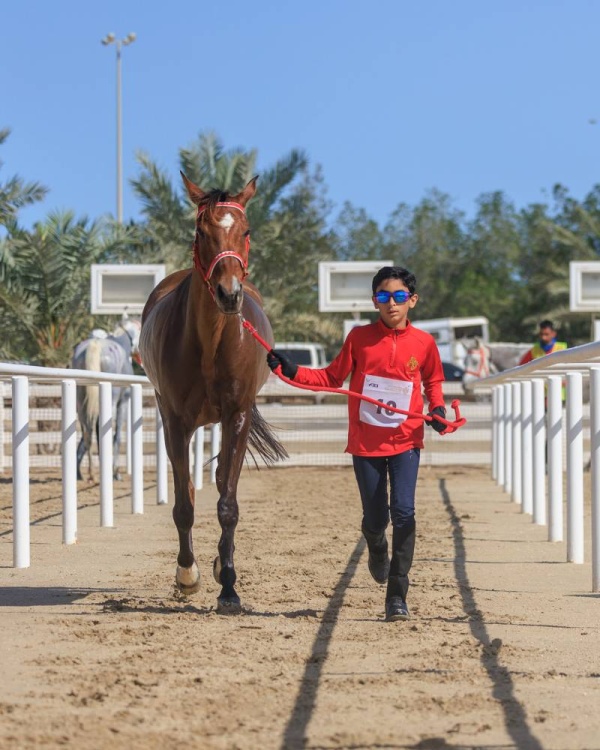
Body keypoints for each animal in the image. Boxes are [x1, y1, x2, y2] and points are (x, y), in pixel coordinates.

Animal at [139, 173, 288, 612]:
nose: (228, 293)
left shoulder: (236, 415)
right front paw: (187, 575)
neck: (209, 343)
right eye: (200, 231)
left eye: (246, 231)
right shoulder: (175, 422)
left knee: (223, 480)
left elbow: (227, 503)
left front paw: (229, 586)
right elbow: (185, 503)